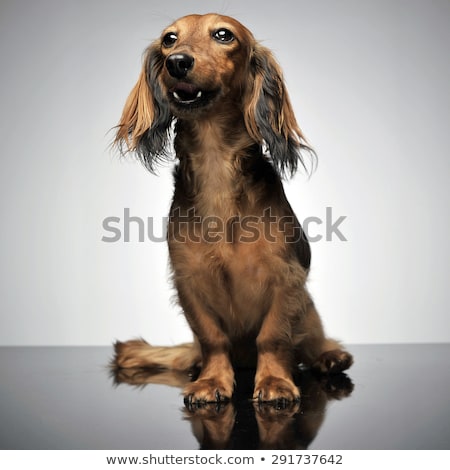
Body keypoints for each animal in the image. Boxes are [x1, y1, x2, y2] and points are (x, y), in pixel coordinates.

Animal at [112, 13, 352, 404]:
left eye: (224, 35)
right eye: (169, 39)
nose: (177, 62)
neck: (216, 164)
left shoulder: (285, 278)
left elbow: (273, 337)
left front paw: (275, 382)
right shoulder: (189, 281)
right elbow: (213, 339)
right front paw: (211, 381)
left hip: (308, 310)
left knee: (312, 341)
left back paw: (330, 356)